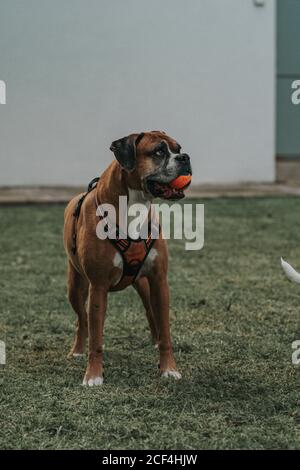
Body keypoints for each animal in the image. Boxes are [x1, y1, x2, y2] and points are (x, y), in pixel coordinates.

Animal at [63, 129, 192, 386]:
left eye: (178, 148)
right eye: (159, 151)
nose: (185, 157)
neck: (135, 205)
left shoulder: (159, 281)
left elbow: (166, 330)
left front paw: (168, 368)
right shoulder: (98, 287)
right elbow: (96, 337)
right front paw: (93, 375)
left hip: (143, 285)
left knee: (151, 312)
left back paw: (155, 341)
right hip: (76, 288)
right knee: (82, 320)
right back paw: (78, 350)